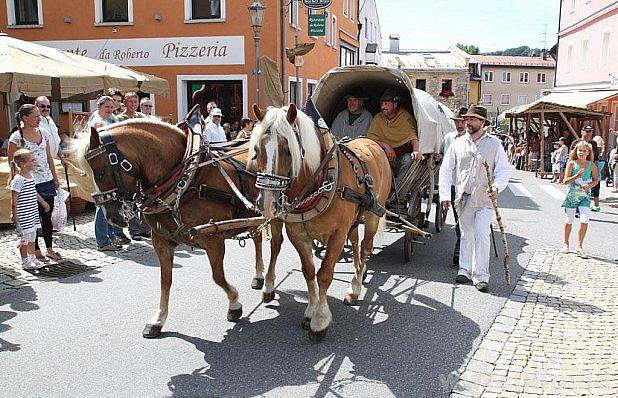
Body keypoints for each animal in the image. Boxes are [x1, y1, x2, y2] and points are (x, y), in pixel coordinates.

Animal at [82, 119, 284, 338]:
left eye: (101, 171)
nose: (112, 218)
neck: (187, 181)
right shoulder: (161, 241)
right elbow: (165, 280)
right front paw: (158, 319)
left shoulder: (213, 239)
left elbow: (218, 277)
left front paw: (234, 303)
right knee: (257, 239)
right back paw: (258, 276)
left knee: (274, 244)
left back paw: (267, 284)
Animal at [247, 104, 388, 340]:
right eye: (257, 150)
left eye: (288, 150)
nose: (267, 204)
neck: (319, 183)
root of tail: (371, 142)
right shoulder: (298, 234)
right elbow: (308, 270)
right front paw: (311, 309)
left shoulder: (337, 234)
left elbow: (324, 274)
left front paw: (320, 320)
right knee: (356, 243)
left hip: (372, 215)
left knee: (366, 246)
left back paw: (356, 286)